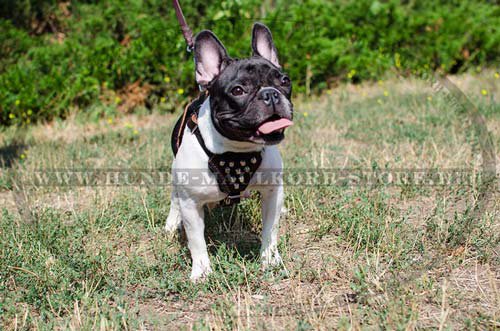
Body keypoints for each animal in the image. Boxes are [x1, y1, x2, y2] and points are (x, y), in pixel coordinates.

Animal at [166, 22, 292, 282]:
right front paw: (202, 271)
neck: (237, 151)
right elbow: (197, 241)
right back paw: (172, 223)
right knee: (174, 198)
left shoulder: (272, 192)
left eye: (285, 81)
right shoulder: (191, 203)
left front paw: (270, 260)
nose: (271, 93)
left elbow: (271, 229)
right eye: (238, 90)